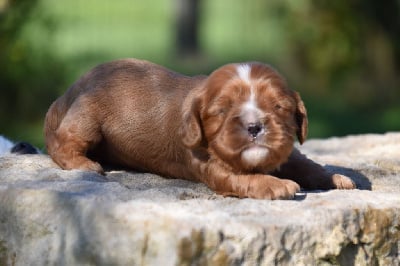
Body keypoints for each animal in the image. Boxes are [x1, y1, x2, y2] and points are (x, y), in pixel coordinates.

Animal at [44, 58, 356, 200]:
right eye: (222, 111)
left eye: (278, 107)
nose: (254, 126)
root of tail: (67, 94)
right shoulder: (210, 165)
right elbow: (243, 177)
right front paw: (277, 185)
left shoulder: (286, 151)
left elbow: (306, 164)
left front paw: (336, 178)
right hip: (87, 117)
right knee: (62, 143)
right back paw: (85, 164)